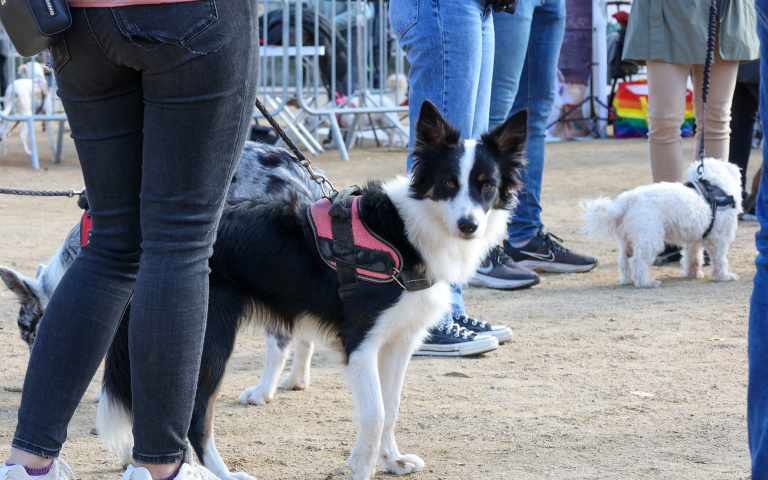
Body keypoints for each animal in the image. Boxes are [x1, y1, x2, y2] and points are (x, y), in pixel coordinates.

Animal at [0, 99, 528, 478]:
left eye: (486, 185)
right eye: (447, 183)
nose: (469, 224)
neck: (404, 231)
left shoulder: (399, 341)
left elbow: (392, 409)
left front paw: (391, 461)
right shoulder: (361, 340)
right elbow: (375, 413)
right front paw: (362, 467)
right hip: (211, 339)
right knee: (195, 418)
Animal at [584, 159, 744, 288]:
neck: (716, 188)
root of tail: (625, 202)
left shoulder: (693, 240)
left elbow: (692, 258)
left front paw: (693, 273)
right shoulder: (719, 240)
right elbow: (720, 260)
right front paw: (724, 276)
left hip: (628, 241)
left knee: (624, 261)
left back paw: (627, 280)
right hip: (650, 239)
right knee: (638, 262)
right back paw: (646, 283)